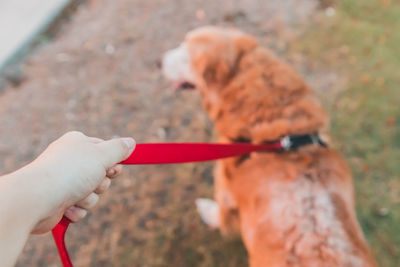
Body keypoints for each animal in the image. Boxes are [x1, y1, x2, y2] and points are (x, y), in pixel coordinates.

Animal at [161, 27, 376, 267]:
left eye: (186, 51)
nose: (159, 60)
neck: (278, 130)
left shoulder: (225, 189)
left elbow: (222, 217)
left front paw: (209, 212)